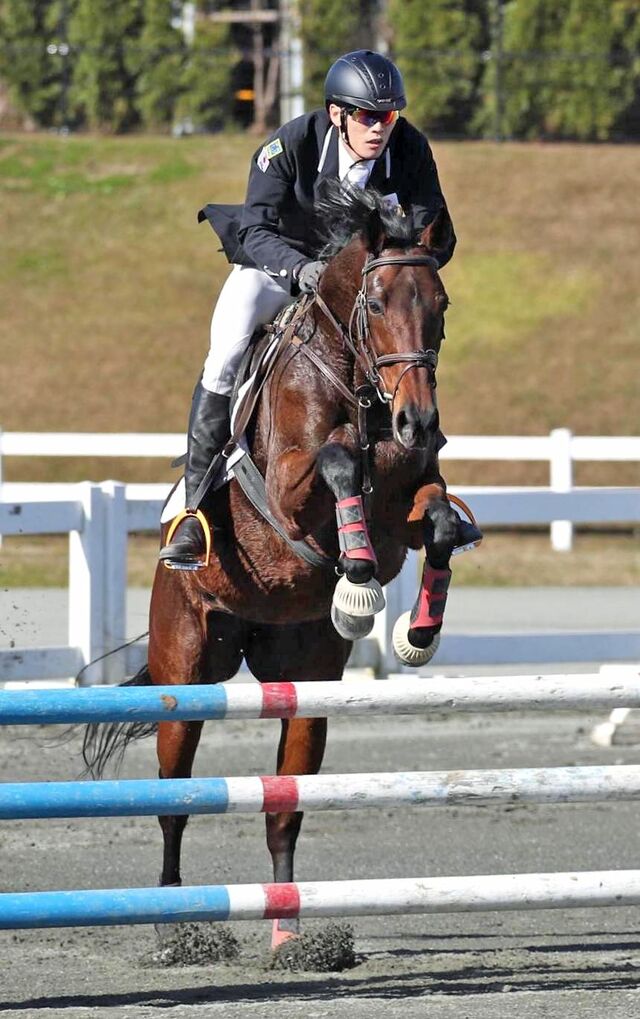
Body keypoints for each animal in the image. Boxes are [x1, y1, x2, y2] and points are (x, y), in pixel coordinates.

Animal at [82, 187, 462, 957]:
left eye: (440, 304)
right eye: (376, 302)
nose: (419, 421)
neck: (360, 387)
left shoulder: (409, 503)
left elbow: (436, 521)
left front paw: (415, 628)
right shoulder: (288, 490)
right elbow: (337, 460)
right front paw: (355, 572)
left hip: (308, 684)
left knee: (284, 805)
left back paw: (292, 933)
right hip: (187, 670)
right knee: (174, 799)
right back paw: (172, 926)